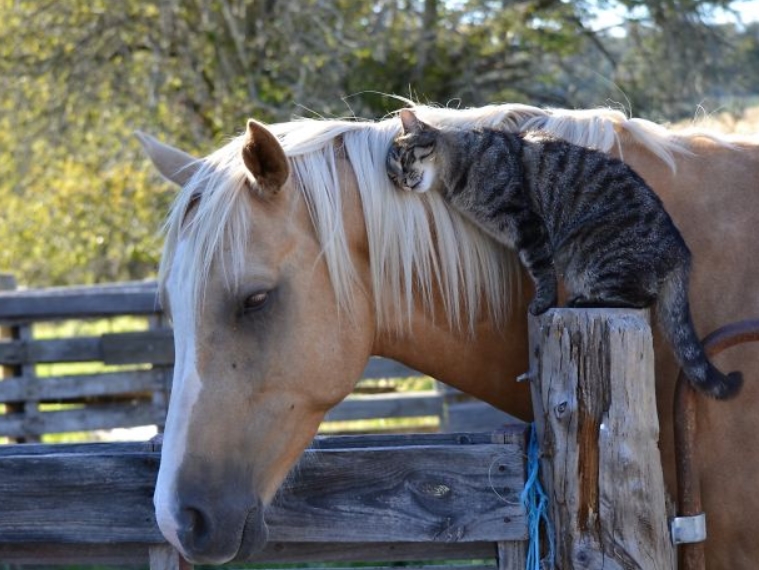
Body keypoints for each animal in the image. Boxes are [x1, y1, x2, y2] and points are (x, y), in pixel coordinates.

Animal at [388, 108, 744, 398]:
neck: (459, 167)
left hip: (590, 253)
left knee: (639, 298)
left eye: (405, 158)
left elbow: (541, 270)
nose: (402, 182)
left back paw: (583, 300)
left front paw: (542, 303)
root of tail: (680, 251)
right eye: (392, 174)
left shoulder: (528, 223)